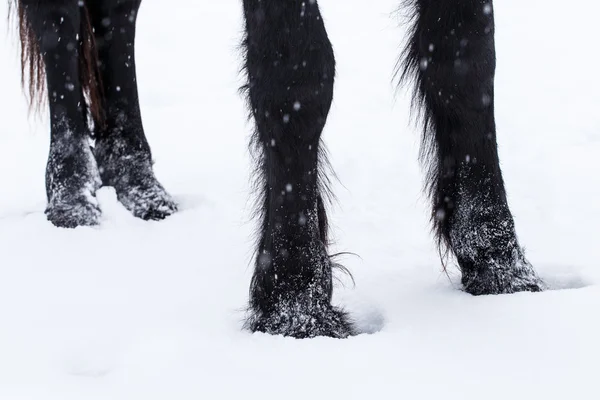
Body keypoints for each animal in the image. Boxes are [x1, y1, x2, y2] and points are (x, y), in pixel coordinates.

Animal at [9, 0, 544, 340]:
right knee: (56, 23)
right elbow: (297, 71)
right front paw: (294, 304)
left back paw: (138, 183)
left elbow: (464, 54)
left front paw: (498, 262)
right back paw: (71, 195)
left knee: (115, 17)